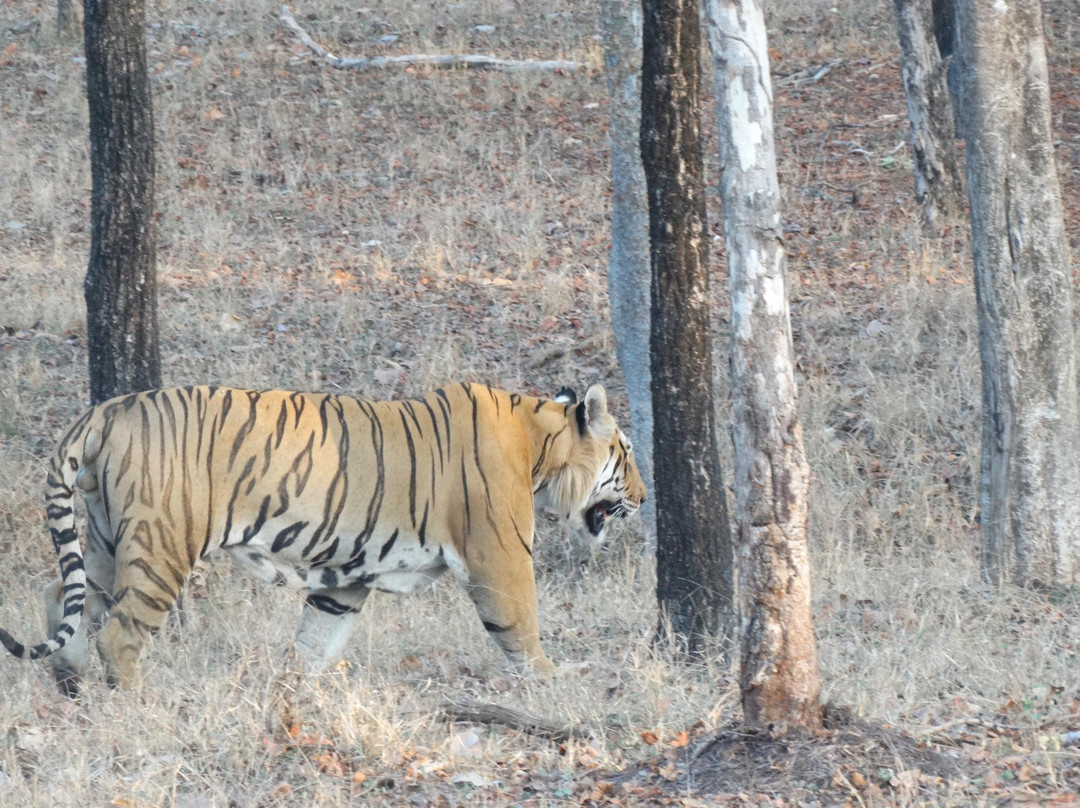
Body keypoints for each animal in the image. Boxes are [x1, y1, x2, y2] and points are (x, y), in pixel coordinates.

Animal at [0, 382, 646, 696]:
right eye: (628, 453)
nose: (643, 497)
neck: (540, 445)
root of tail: (106, 410)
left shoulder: (349, 576)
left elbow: (316, 640)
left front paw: (295, 696)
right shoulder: (501, 558)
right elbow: (522, 626)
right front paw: (555, 682)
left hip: (108, 542)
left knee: (65, 598)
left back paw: (71, 683)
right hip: (161, 545)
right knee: (120, 634)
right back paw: (134, 702)